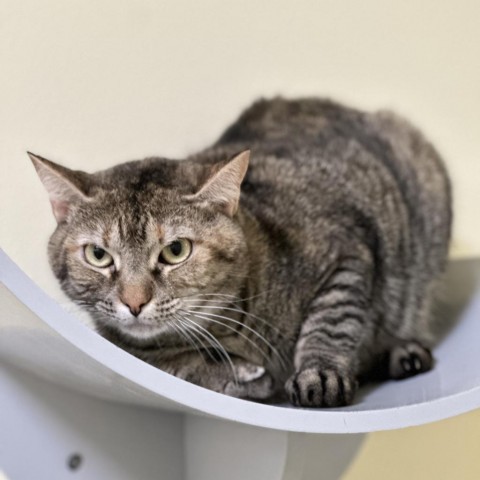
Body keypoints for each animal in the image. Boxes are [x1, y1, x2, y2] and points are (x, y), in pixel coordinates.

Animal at [30, 99, 450, 406]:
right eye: (99, 255)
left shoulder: (347, 253)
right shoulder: (123, 348)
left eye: (175, 250)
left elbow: (331, 322)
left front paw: (318, 373)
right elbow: (173, 365)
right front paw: (237, 374)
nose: (134, 302)